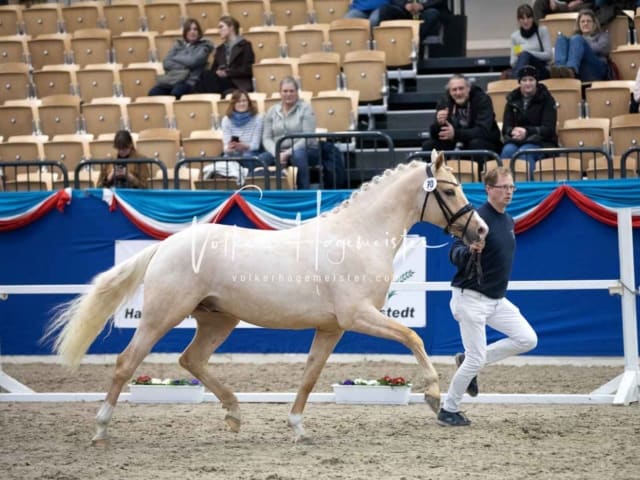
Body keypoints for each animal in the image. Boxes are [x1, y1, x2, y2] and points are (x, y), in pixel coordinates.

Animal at [46, 150, 484, 442]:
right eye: (449, 190)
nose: (479, 231)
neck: (358, 237)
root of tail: (167, 244)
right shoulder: (357, 316)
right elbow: (413, 337)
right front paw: (432, 395)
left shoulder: (331, 328)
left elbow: (310, 375)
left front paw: (298, 428)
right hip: (161, 316)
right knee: (127, 362)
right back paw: (101, 429)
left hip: (218, 319)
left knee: (191, 359)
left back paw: (235, 415)